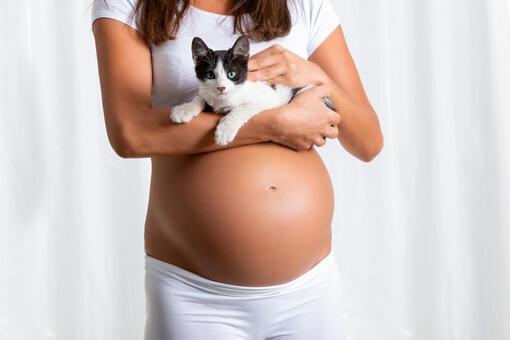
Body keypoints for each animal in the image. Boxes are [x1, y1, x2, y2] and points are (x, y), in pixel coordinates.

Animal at [169, 35, 332, 145]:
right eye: (210, 75)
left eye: (231, 74)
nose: (221, 87)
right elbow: (201, 97)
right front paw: (184, 109)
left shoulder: (267, 96)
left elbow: (243, 107)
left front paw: (225, 130)